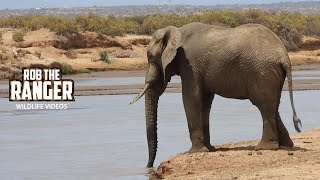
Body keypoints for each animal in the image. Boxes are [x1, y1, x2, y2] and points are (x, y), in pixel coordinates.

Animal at [129, 22, 302, 167]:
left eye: (150, 57)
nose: (149, 167)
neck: (177, 30)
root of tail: (284, 56)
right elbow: (205, 100)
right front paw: (209, 149)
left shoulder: (190, 65)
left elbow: (191, 97)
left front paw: (195, 152)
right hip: (270, 73)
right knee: (272, 106)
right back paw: (286, 145)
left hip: (262, 71)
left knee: (264, 106)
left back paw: (265, 147)